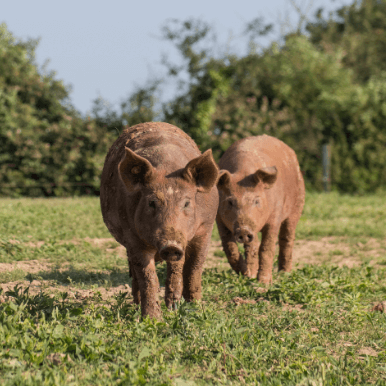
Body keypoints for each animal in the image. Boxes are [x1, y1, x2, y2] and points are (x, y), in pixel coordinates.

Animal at [99, 122, 220, 318]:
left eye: (186, 203)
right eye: (151, 202)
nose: (171, 245)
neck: (168, 167)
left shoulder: (206, 227)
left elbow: (193, 268)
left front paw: (195, 310)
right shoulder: (131, 235)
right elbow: (147, 276)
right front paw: (152, 319)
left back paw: (173, 308)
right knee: (135, 272)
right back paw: (137, 305)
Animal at [217, 135, 304, 284]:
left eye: (257, 201)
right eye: (230, 202)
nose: (244, 230)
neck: (243, 173)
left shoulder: (275, 216)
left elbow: (267, 247)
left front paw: (263, 282)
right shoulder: (219, 219)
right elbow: (230, 248)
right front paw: (246, 275)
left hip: (297, 206)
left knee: (287, 237)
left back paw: (284, 273)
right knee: (252, 245)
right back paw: (251, 274)